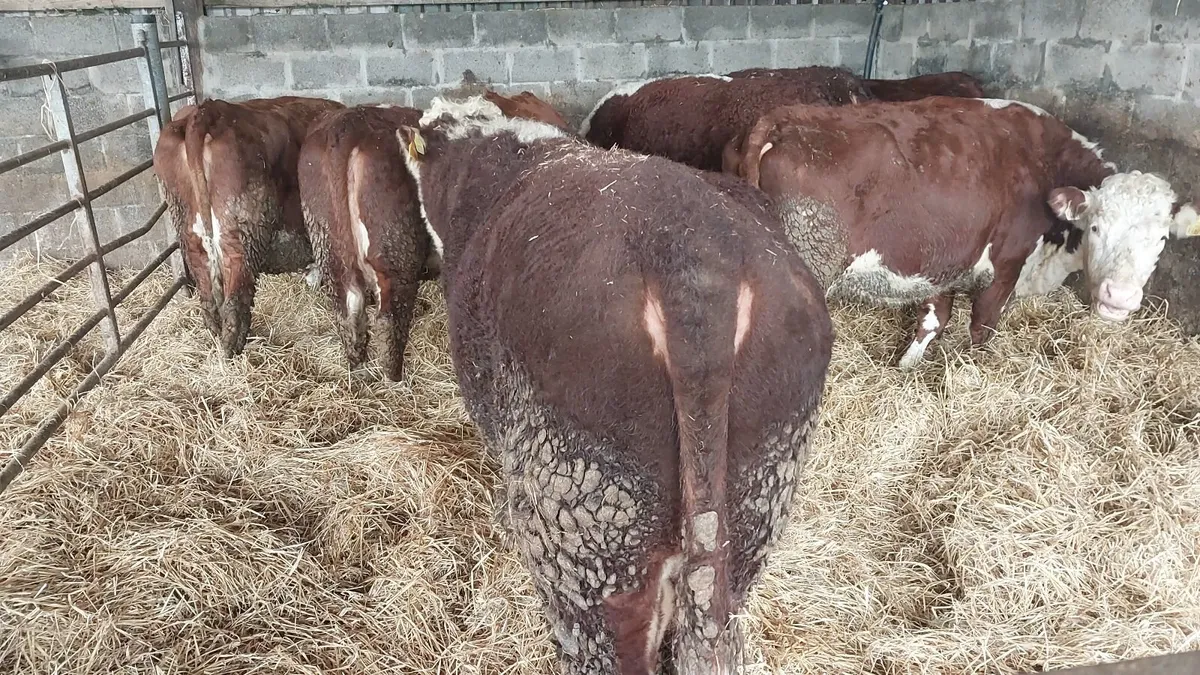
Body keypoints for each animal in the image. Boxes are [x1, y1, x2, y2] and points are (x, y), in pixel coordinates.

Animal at [154, 95, 344, 357]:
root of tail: (210, 110)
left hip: (189, 229)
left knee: (208, 295)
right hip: (241, 236)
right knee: (235, 301)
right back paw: (233, 350)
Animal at [297, 104, 437, 382]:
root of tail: (349, 124)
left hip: (328, 243)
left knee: (347, 306)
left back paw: (359, 366)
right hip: (396, 249)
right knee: (388, 317)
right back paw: (394, 377)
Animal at [725, 96, 1200, 368]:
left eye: (1161, 239)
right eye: (1097, 226)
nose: (1119, 298)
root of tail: (781, 119)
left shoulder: (948, 260)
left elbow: (934, 318)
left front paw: (907, 367)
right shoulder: (1006, 264)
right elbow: (981, 327)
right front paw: (975, 370)